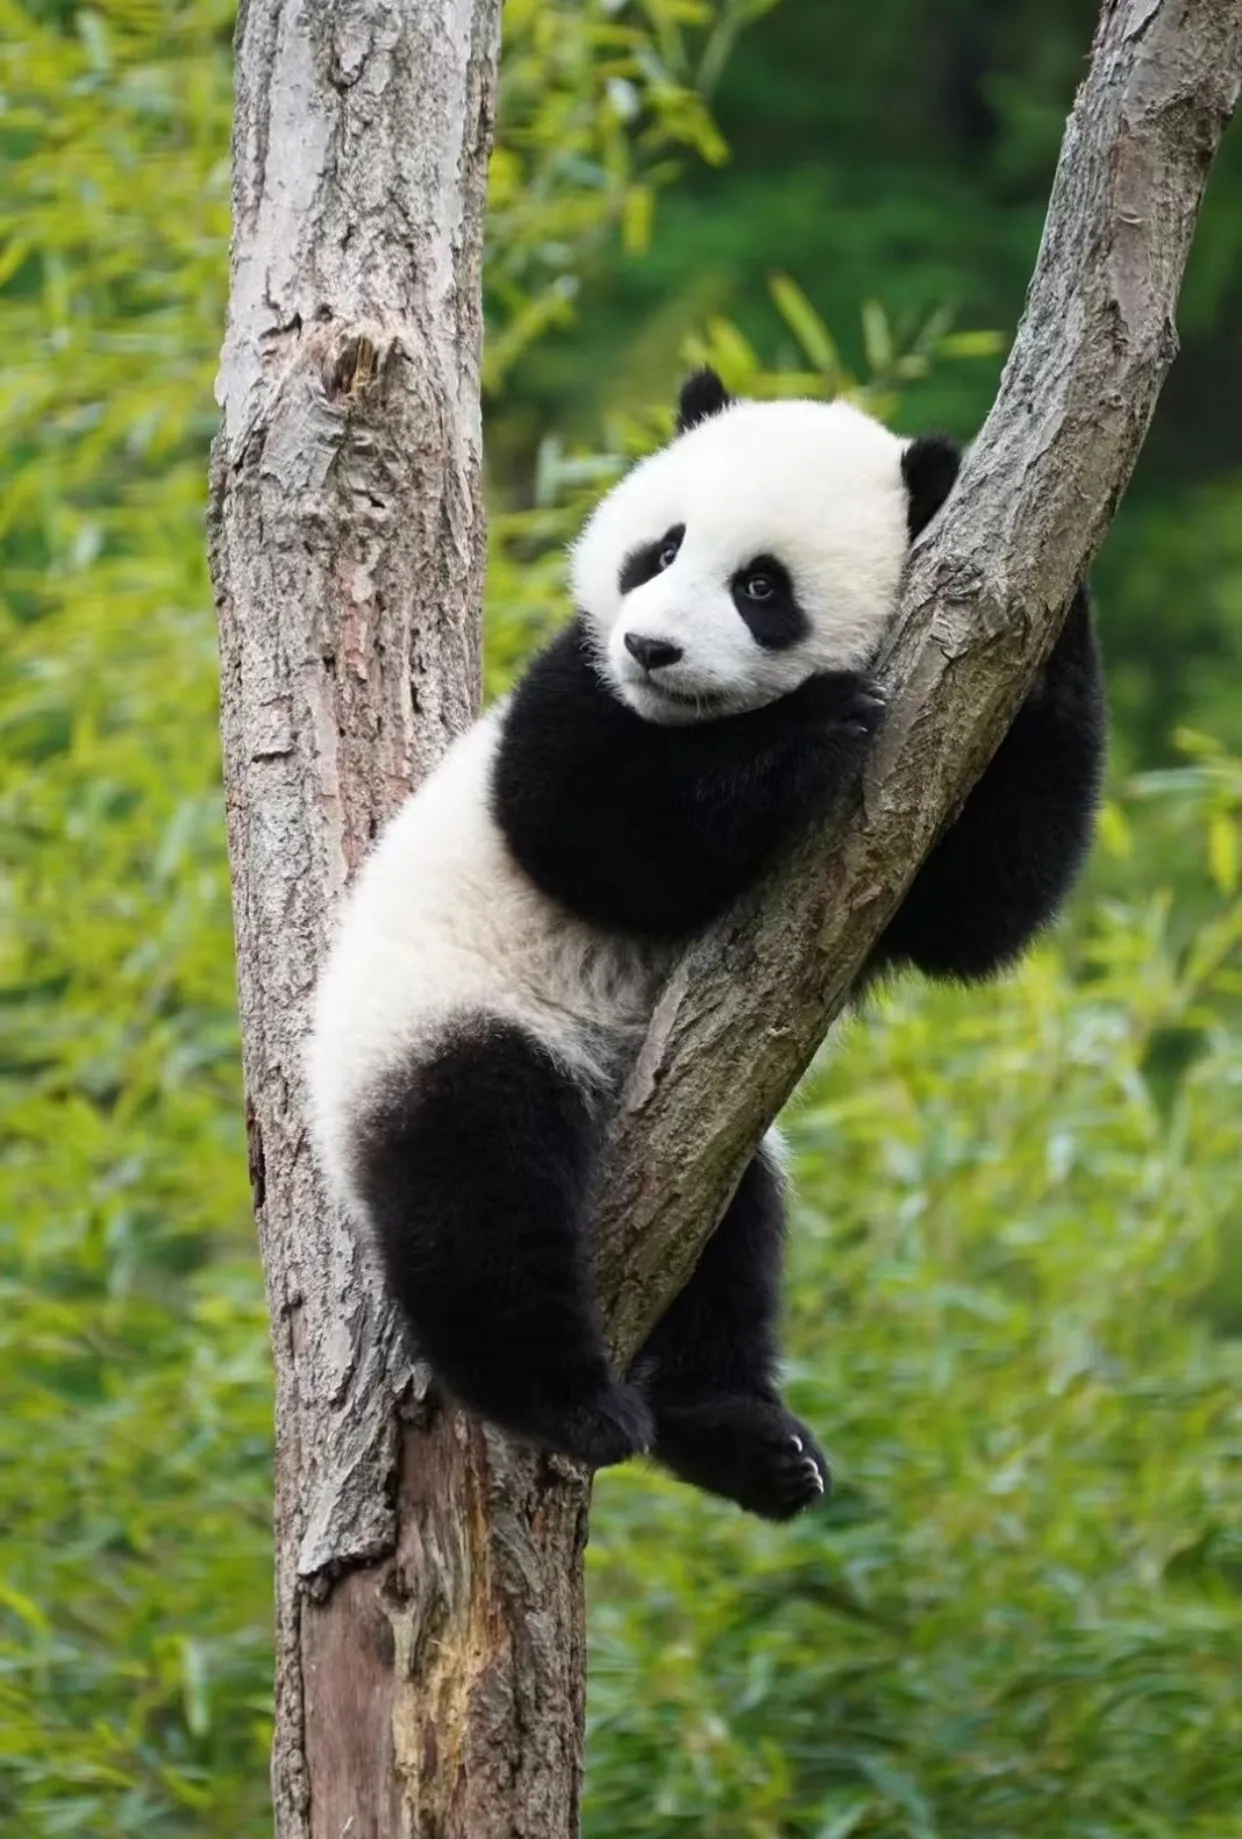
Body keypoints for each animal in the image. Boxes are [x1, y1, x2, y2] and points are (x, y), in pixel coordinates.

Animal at [306, 367, 1105, 1521]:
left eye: (763, 588)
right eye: (661, 549)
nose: (653, 647)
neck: (680, 718)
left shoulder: (931, 772)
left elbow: (983, 905)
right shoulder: (573, 685)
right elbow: (580, 826)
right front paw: (807, 729)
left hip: (717, 1127)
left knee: (733, 1240)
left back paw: (739, 1439)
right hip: (442, 1019)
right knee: (478, 1187)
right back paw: (566, 1403)